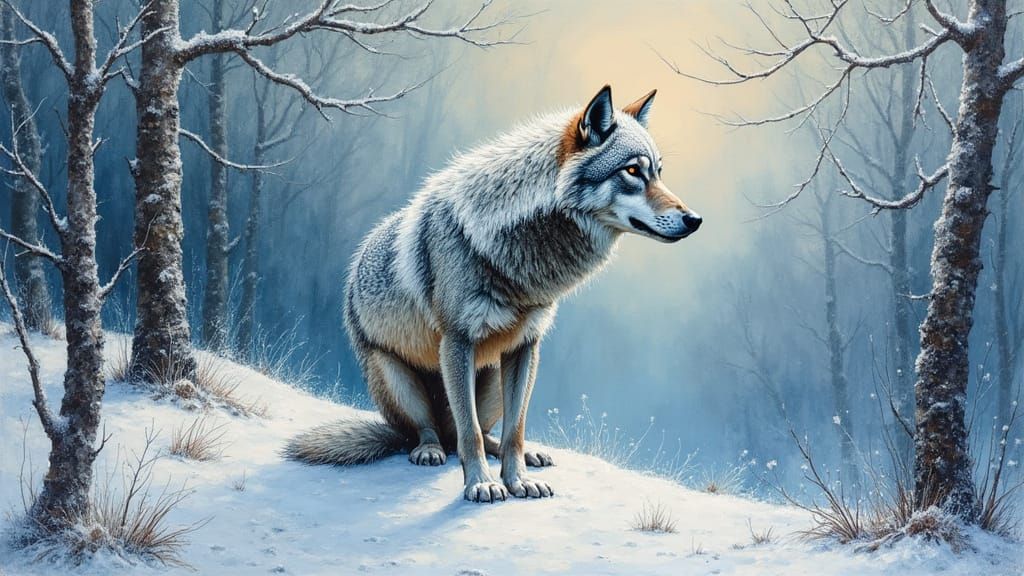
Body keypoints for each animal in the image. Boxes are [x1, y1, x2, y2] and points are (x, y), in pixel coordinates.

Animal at [285, 86, 702, 502]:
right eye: (632, 171)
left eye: (658, 173)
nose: (694, 219)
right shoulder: (457, 342)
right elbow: (469, 434)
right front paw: (481, 483)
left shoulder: (526, 346)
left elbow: (514, 429)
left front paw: (517, 479)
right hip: (397, 377)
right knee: (434, 433)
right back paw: (429, 450)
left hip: (492, 380)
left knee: (486, 434)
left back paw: (526, 454)